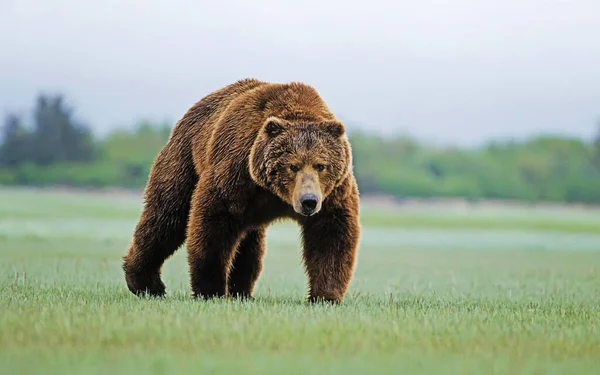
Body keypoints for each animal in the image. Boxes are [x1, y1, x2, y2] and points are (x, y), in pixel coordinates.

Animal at [119, 78, 358, 304]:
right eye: (293, 165)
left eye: (320, 165)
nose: (309, 201)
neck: (275, 194)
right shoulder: (236, 172)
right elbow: (212, 225)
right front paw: (211, 290)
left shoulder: (333, 194)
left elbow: (331, 235)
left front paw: (325, 296)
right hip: (184, 161)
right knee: (166, 217)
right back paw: (146, 283)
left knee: (249, 244)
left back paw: (241, 292)